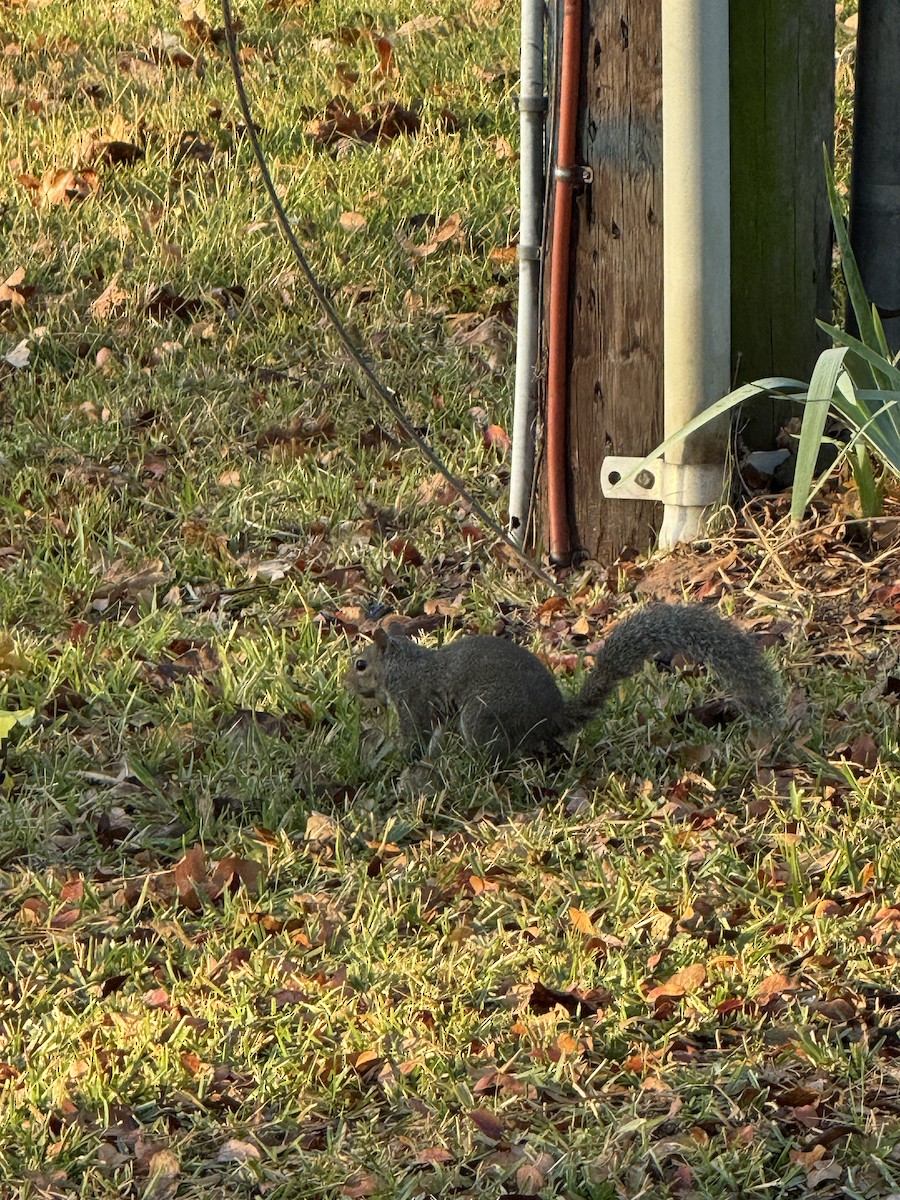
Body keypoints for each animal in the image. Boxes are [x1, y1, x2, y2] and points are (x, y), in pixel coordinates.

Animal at [345, 602, 782, 760]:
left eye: (361, 664)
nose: (349, 688)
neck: (403, 663)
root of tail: (550, 717)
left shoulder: (412, 700)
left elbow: (416, 736)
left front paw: (403, 761)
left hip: (482, 716)